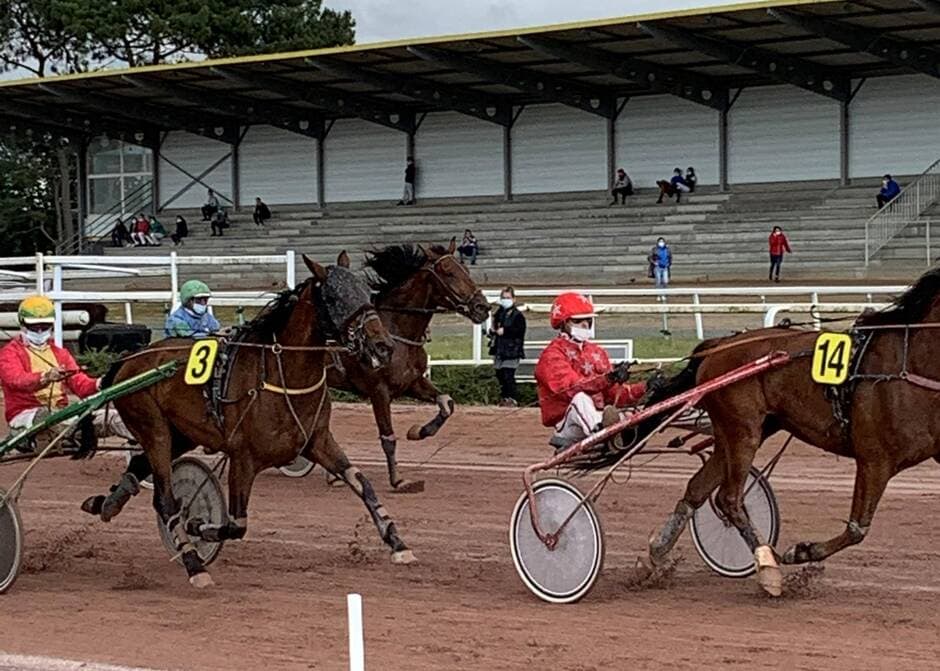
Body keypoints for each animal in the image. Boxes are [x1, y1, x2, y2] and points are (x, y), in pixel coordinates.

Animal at [88, 252, 412, 588]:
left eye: (366, 292)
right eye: (334, 298)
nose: (383, 346)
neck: (283, 375)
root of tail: (128, 360)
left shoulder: (318, 441)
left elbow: (361, 482)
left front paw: (397, 543)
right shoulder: (242, 457)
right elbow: (235, 524)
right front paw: (196, 526)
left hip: (182, 434)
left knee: (140, 466)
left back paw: (108, 503)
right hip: (155, 431)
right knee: (166, 500)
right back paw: (194, 565)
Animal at [324, 242, 488, 494]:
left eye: (466, 271)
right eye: (449, 273)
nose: (483, 307)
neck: (396, 332)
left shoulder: (413, 382)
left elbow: (447, 403)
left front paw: (419, 432)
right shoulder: (379, 391)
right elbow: (388, 438)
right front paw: (398, 480)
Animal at [596, 270, 940, 596]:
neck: (906, 366)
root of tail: (718, 346)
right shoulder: (874, 459)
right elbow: (857, 529)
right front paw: (801, 552)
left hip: (738, 433)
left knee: (697, 489)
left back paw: (657, 554)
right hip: (743, 430)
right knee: (728, 498)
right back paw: (767, 566)